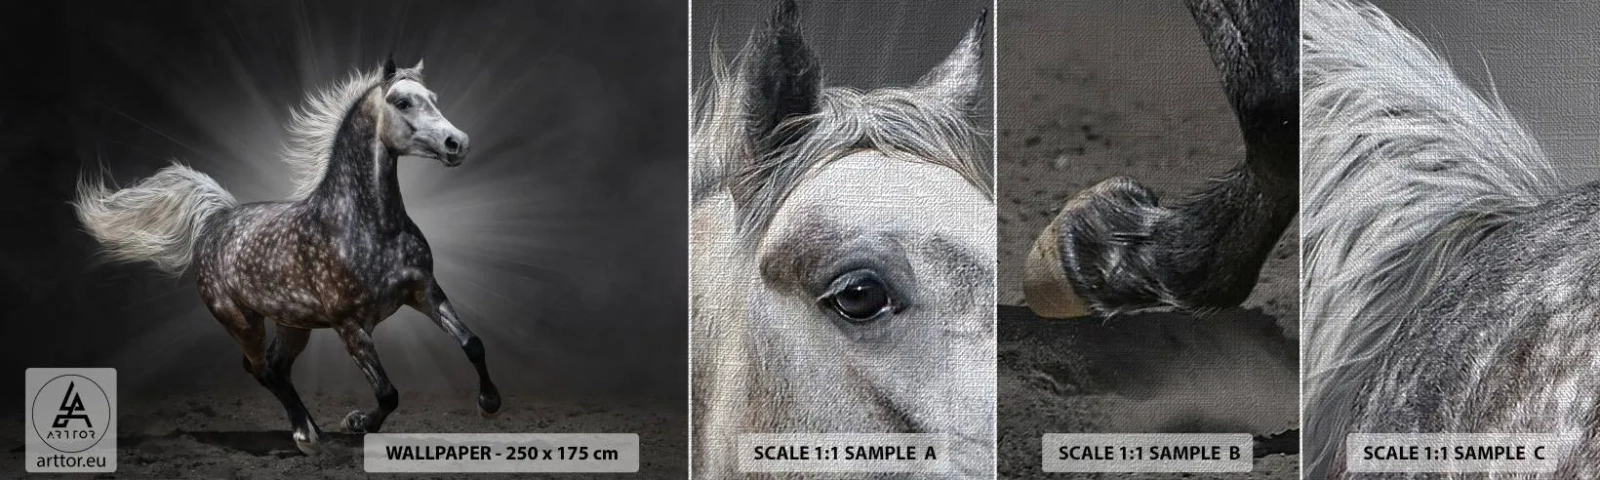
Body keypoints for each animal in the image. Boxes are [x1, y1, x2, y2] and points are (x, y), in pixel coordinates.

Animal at [72, 59, 500, 455]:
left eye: (433, 98)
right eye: (402, 102)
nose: (457, 143)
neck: (373, 226)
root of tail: (218, 218)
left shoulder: (425, 293)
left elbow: (473, 343)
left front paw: (490, 403)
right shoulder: (351, 326)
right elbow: (387, 393)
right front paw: (357, 422)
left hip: (293, 324)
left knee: (276, 368)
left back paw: (312, 429)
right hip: (241, 320)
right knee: (260, 368)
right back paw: (305, 435)